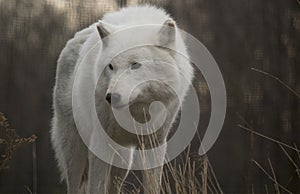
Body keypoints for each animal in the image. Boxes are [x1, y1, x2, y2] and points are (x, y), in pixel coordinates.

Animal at [50, 5, 193, 193]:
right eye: (111, 66)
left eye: (135, 65)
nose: (111, 97)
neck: (138, 111)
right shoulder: (100, 143)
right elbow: (96, 187)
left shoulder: (154, 144)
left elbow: (152, 185)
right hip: (75, 151)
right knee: (74, 185)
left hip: (123, 159)